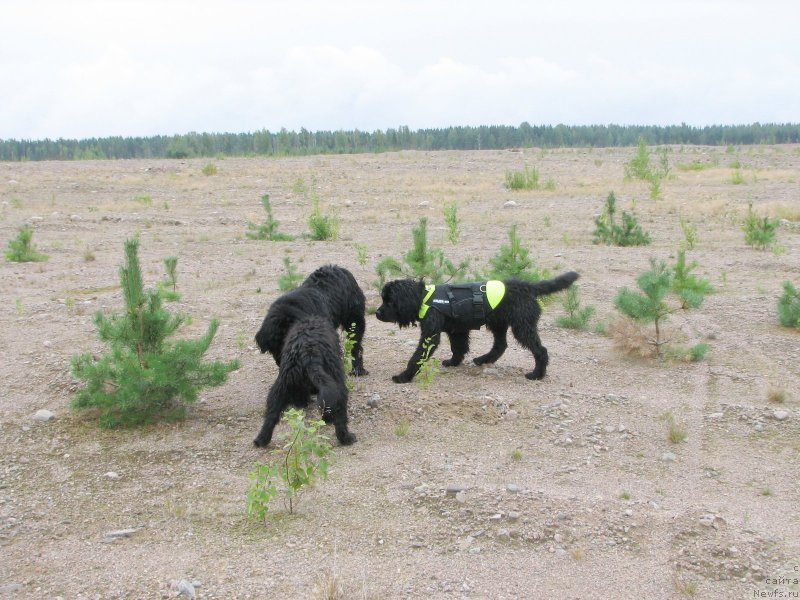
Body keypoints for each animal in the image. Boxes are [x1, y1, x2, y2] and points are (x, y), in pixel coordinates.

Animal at [253, 314, 354, 446]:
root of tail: (309, 355)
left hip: (281, 386)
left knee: (271, 413)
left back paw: (261, 440)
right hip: (337, 382)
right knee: (338, 410)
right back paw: (346, 437)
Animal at [378, 270, 580, 382]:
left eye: (390, 301)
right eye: (384, 299)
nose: (377, 313)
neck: (424, 297)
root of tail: (529, 287)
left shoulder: (431, 335)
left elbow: (417, 356)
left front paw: (404, 376)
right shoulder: (456, 330)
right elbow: (458, 348)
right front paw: (453, 362)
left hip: (522, 327)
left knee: (540, 350)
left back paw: (537, 374)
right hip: (499, 323)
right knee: (500, 345)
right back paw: (484, 359)